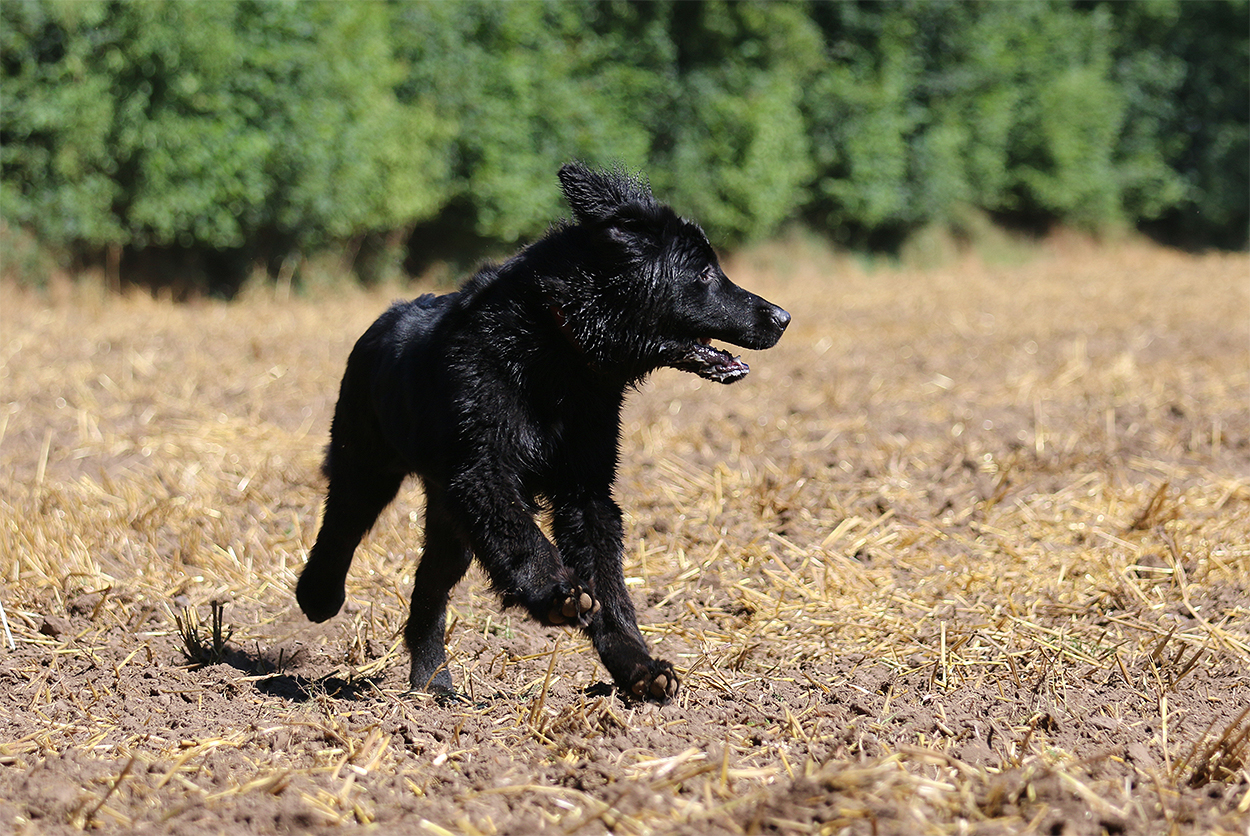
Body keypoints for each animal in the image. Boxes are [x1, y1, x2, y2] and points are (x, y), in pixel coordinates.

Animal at [296, 163, 790, 701]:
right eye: (703, 273)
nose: (783, 318)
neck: (557, 353)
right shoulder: (482, 473)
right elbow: (524, 540)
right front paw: (558, 594)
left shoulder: (584, 492)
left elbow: (611, 588)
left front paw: (638, 667)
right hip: (366, 466)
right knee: (340, 529)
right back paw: (317, 596)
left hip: (449, 517)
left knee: (428, 587)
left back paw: (434, 682)